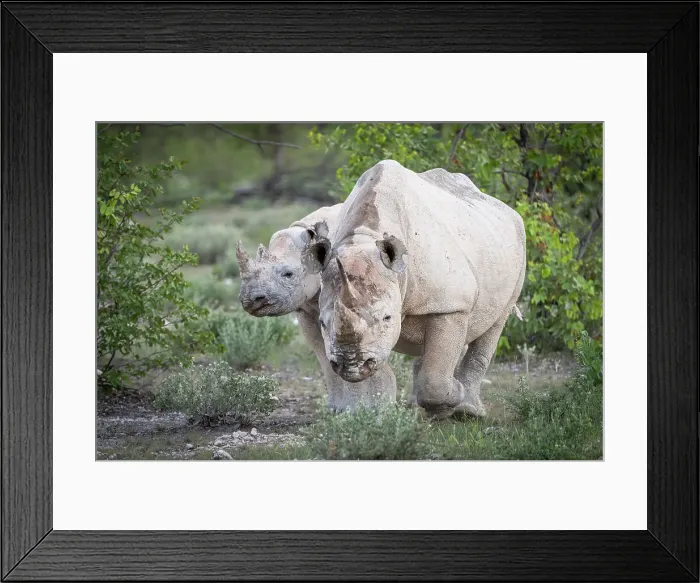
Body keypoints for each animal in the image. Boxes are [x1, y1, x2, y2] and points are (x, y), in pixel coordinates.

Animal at [235, 204, 398, 412]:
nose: (251, 300)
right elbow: (324, 354)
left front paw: (373, 408)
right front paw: (339, 408)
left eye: (288, 274)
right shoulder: (306, 309)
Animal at [303, 160, 527, 420]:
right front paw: (363, 412)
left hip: (516, 245)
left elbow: (434, 378)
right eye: (322, 323)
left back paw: (468, 411)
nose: (351, 363)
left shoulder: (451, 305)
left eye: (387, 318)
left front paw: (450, 398)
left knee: (495, 323)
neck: (364, 238)